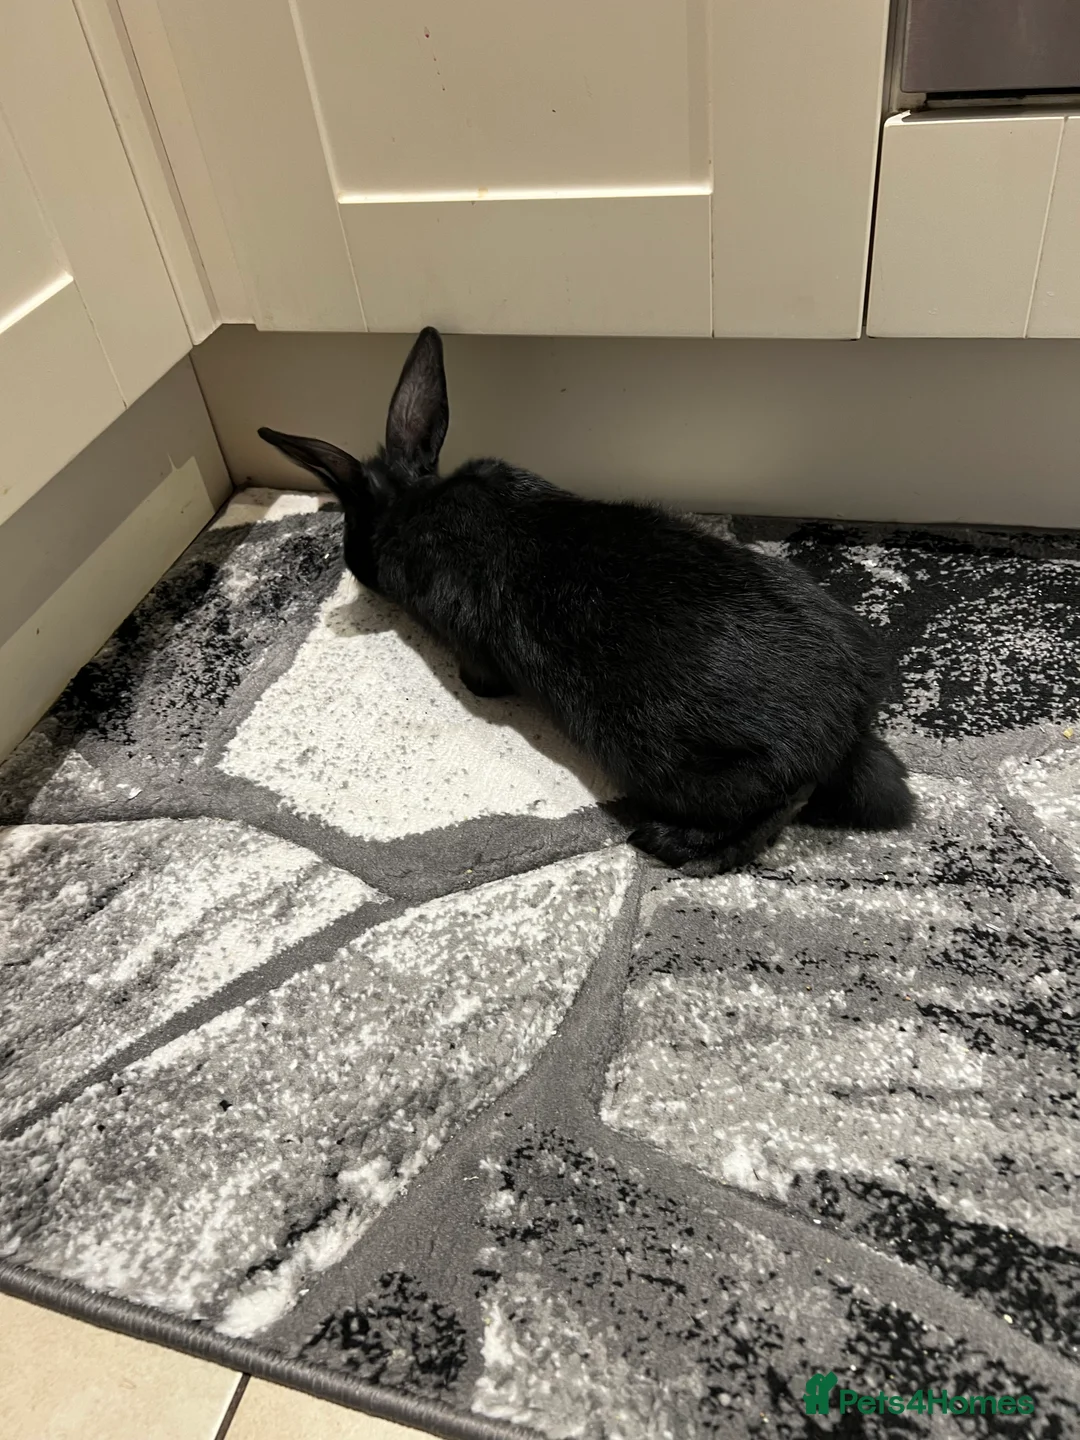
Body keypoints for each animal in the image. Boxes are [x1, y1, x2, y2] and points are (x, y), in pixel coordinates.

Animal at [259, 326, 914, 873]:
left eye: (351, 527)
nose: (350, 565)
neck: (415, 503)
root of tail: (845, 728)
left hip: (677, 767)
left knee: (776, 805)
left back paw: (670, 844)